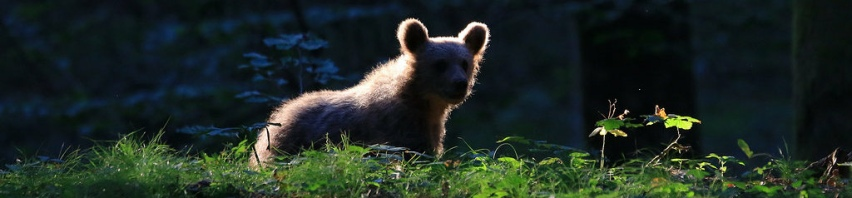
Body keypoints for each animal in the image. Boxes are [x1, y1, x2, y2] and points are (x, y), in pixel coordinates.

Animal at [250, 19, 490, 167]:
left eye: (464, 63)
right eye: (440, 64)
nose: (460, 84)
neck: (424, 102)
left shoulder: (431, 125)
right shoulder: (400, 126)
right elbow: (415, 154)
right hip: (290, 146)